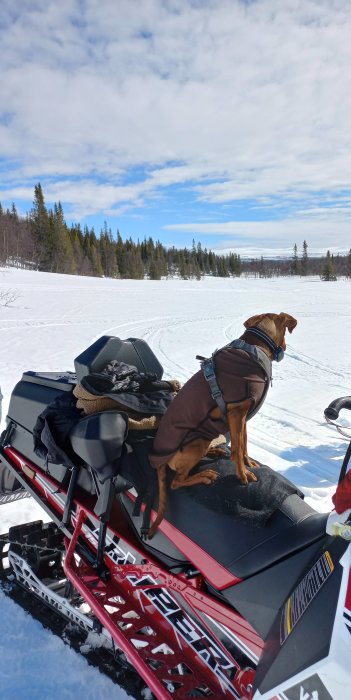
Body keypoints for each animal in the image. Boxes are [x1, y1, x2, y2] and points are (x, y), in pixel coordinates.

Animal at [147, 312, 298, 536]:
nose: (287, 347)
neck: (255, 345)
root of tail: (158, 461)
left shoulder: (243, 414)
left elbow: (244, 443)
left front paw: (249, 463)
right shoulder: (236, 412)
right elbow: (236, 447)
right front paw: (243, 475)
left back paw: (215, 452)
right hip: (197, 441)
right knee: (176, 482)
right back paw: (205, 475)